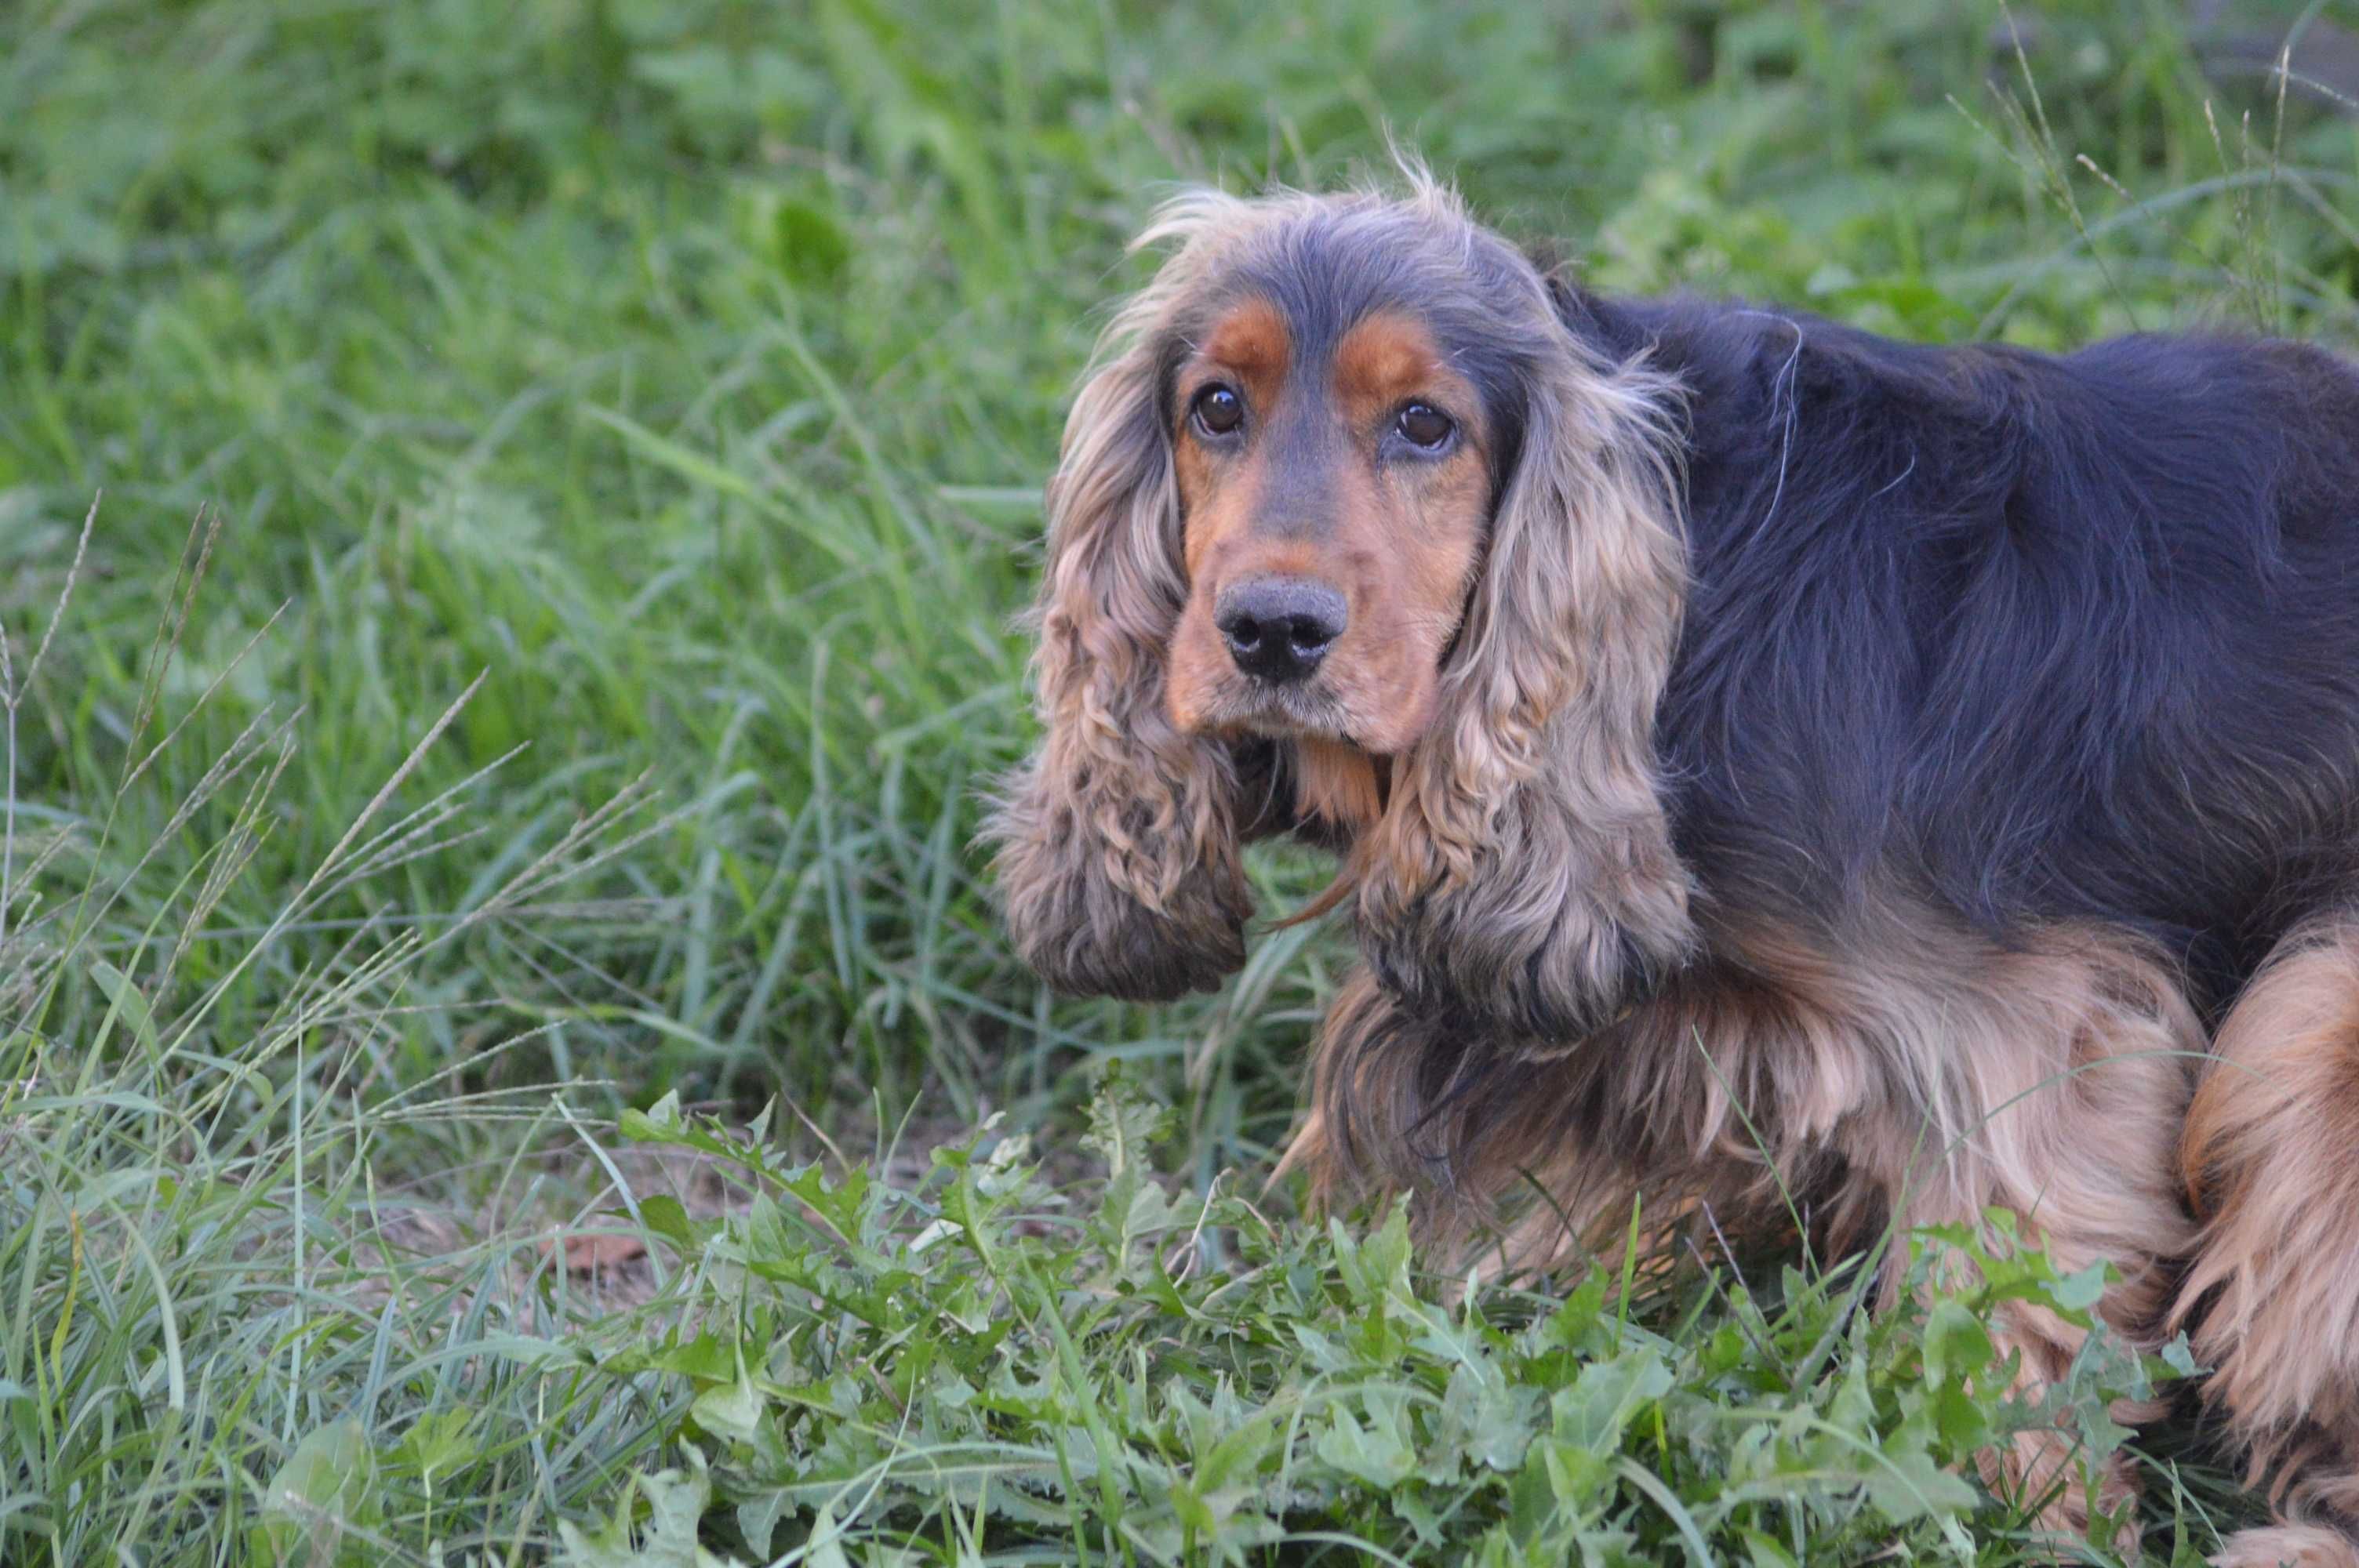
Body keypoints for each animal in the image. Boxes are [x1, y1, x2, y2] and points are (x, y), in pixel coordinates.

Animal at [986, 165, 2359, 1555]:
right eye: (1217, 405)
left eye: (1426, 426)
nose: (1271, 632)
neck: (1686, 574)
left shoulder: (2033, 1031)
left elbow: (2005, 1325)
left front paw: (2013, 1516)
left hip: (2312, 1013)